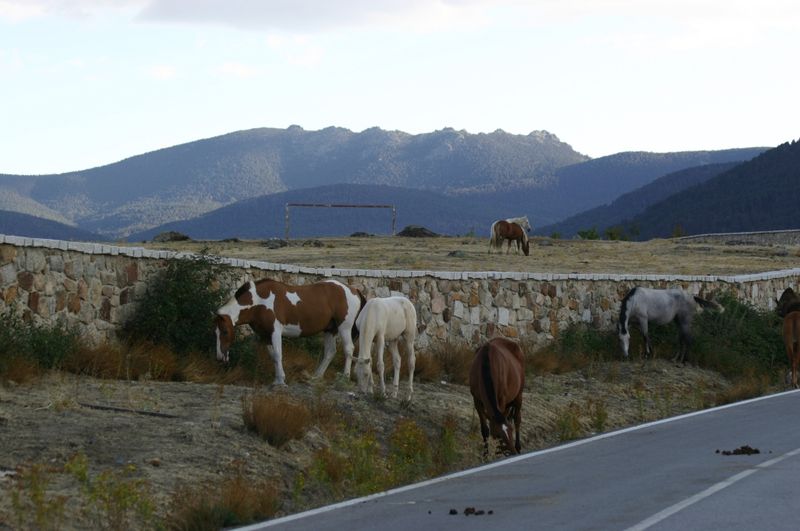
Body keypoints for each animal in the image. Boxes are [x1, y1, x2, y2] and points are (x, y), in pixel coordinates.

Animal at [212, 278, 362, 386]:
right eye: (215, 333)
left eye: (225, 331)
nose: (219, 357)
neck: (259, 302)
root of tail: (353, 289)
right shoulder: (265, 335)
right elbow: (273, 356)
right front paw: (277, 380)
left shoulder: (275, 332)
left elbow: (278, 355)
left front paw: (281, 381)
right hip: (330, 329)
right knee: (330, 352)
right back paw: (316, 377)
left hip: (344, 327)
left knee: (348, 349)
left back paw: (344, 377)